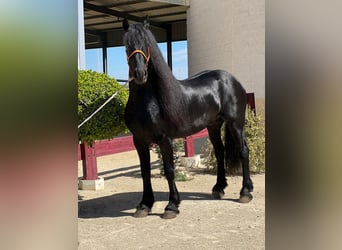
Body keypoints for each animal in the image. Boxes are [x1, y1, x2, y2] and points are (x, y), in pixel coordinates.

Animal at [123, 18, 254, 219]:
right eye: (127, 45)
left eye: (147, 44)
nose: (140, 74)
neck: (148, 101)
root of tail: (231, 79)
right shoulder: (139, 140)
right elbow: (145, 171)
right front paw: (145, 205)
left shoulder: (164, 139)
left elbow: (169, 170)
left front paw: (171, 206)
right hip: (213, 125)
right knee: (220, 152)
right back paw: (219, 188)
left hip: (236, 124)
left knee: (243, 151)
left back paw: (245, 192)